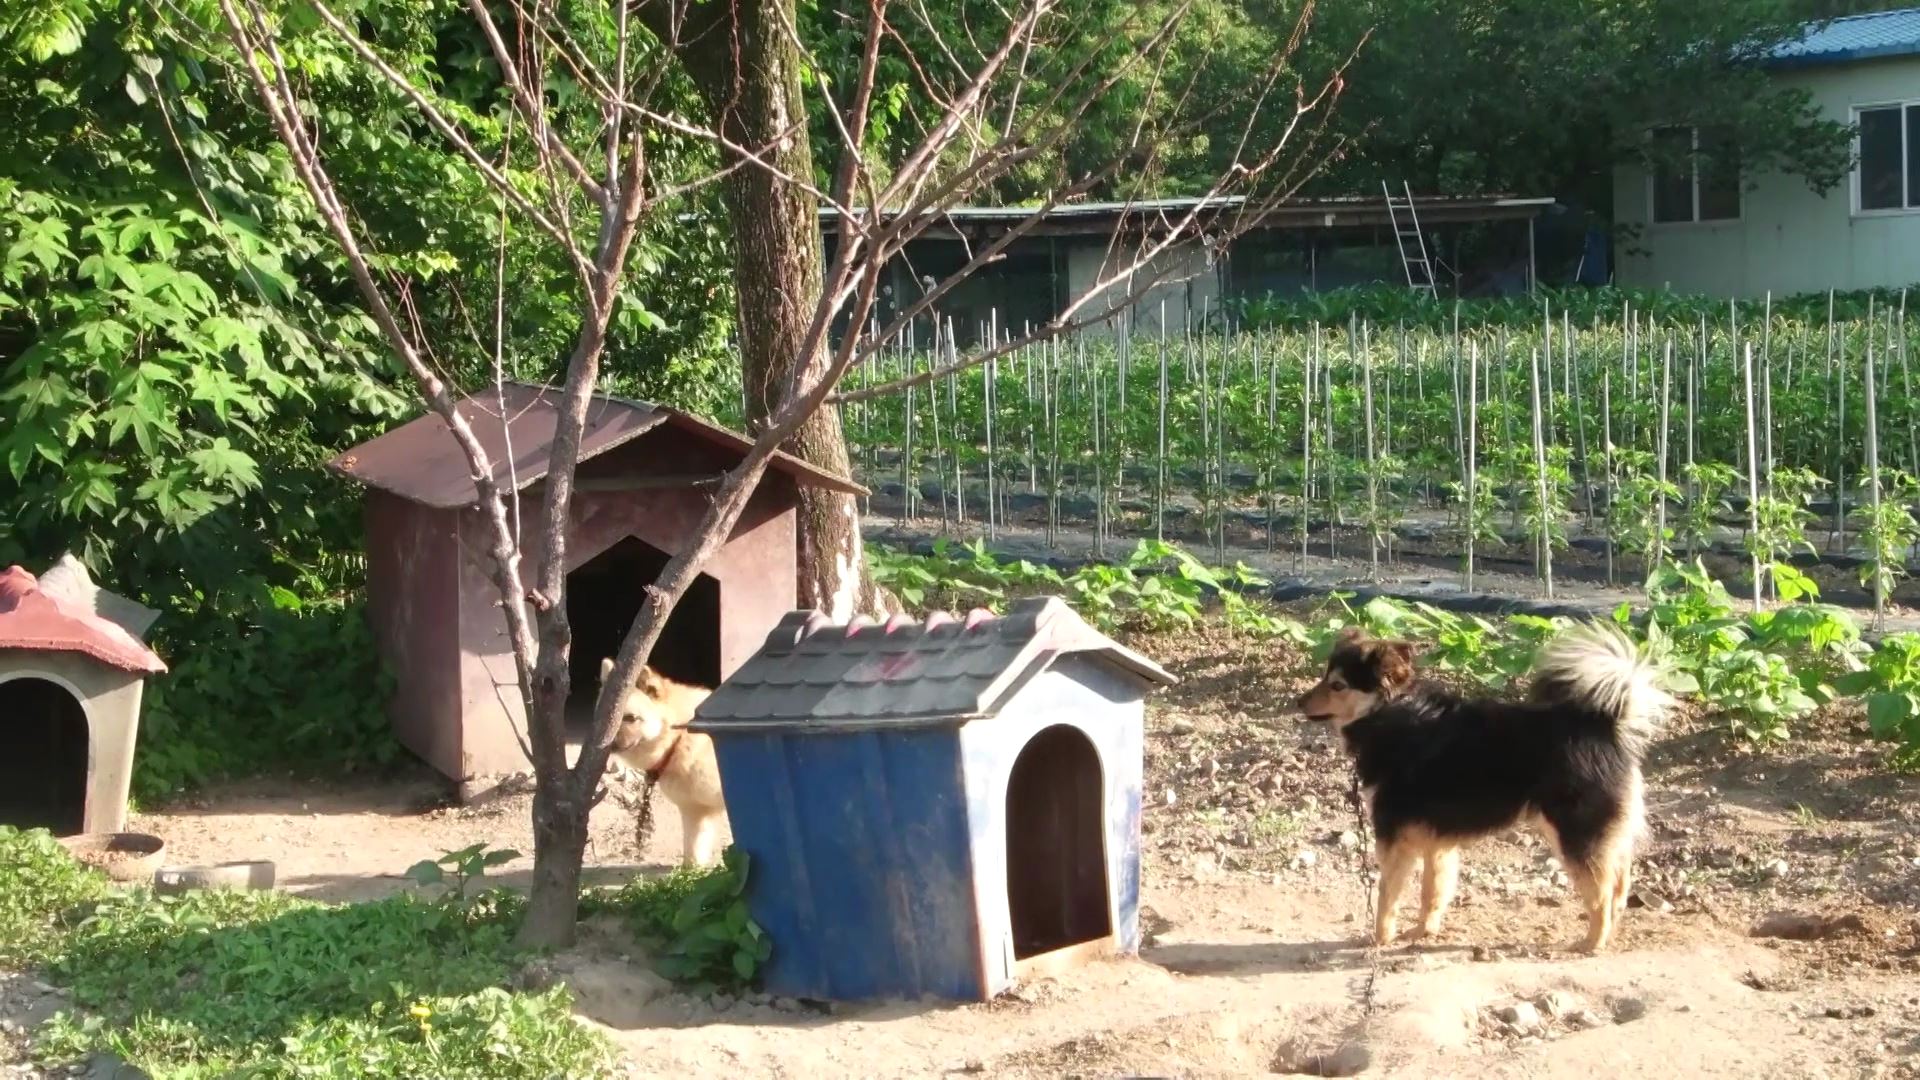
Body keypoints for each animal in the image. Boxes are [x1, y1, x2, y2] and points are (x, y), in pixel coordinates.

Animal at [602, 659, 729, 868]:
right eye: (610, 719)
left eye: (631, 718)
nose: (606, 744)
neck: (679, 739)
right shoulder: (695, 809)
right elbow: (692, 855)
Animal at [1294, 621, 1670, 953]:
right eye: (1325, 678)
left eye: (1338, 685)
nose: (1299, 701)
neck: (1389, 712)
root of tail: (1605, 727)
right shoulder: (1435, 841)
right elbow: (1432, 891)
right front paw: (1422, 931)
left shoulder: (1394, 836)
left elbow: (1388, 894)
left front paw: (1379, 938)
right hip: (1600, 834)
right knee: (1619, 884)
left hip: (1574, 834)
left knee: (1601, 895)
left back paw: (1591, 943)